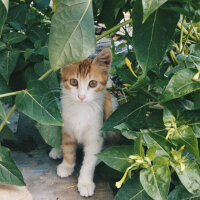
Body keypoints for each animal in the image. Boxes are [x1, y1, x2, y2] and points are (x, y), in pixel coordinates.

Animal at [49, 48, 118, 197]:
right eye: (74, 81)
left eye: (92, 83)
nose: (81, 96)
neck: (81, 109)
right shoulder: (67, 128)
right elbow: (68, 149)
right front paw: (66, 166)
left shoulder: (95, 137)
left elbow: (89, 163)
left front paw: (85, 183)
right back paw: (57, 149)